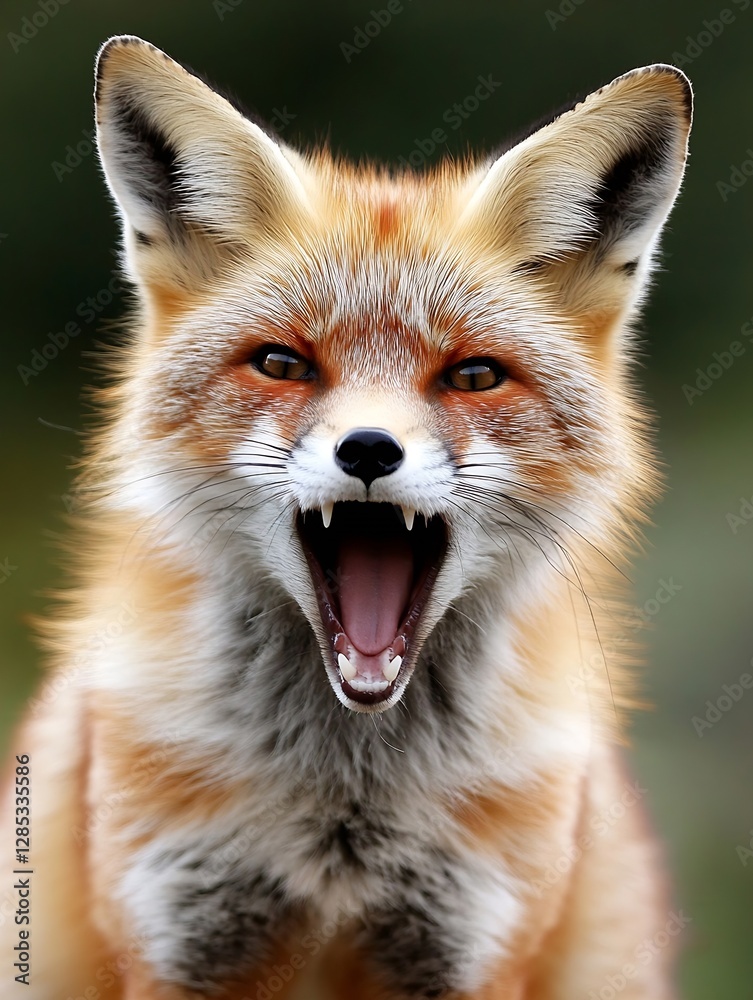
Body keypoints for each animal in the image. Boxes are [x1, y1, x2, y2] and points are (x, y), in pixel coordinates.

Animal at [0, 35, 692, 1000]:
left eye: (473, 376)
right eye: (282, 364)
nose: (368, 450)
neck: (343, 799)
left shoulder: (467, 948)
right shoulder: (179, 941)